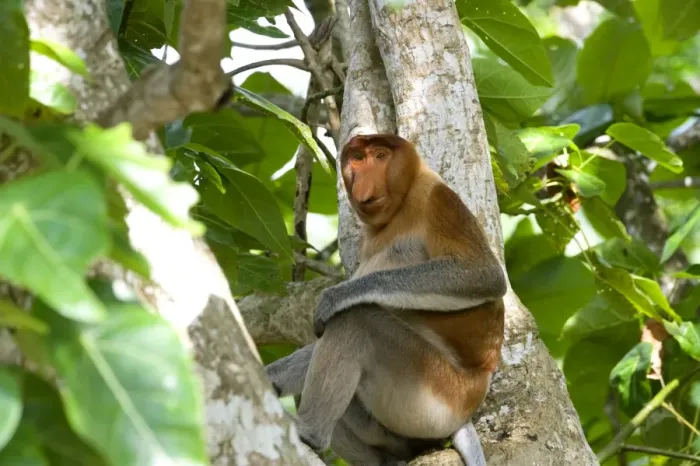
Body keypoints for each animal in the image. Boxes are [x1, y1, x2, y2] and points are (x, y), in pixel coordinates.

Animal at [266, 133, 507, 466]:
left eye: (380, 156)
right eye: (357, 158)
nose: (363, 182)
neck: (399, 209)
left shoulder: (437, 199)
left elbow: (483, 275)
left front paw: (337, 296)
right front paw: (266, 379)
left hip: (434, 393)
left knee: (358, 320)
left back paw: (308, 433)